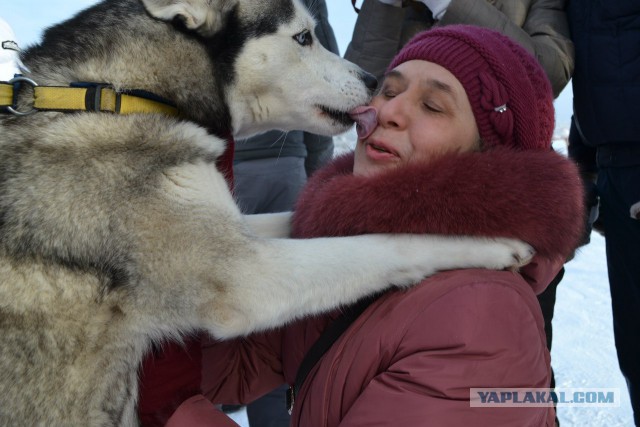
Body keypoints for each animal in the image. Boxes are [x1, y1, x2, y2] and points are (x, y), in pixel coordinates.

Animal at [0, 0, 532, 424]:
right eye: (303, 37)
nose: (374, 79)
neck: (119, 95)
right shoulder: (246, 276)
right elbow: (386, 247)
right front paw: (491, 243)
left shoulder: (238, 226)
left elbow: (301, 216)